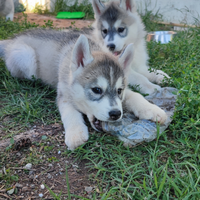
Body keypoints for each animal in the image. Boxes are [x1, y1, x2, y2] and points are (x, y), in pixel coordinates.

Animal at [0, 28, 167, 149]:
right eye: (97, 90)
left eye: (119, 91)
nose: (115, 114)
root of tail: (12, 40)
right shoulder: (64, 94)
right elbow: (70, 113)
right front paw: (76, 134)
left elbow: (135, 95)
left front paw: (153, 110)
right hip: (26, 58)